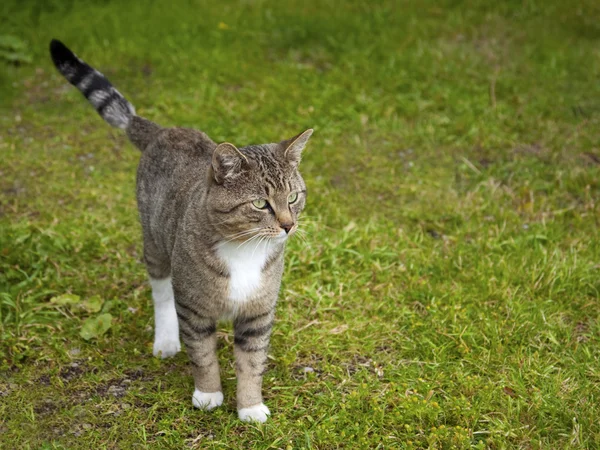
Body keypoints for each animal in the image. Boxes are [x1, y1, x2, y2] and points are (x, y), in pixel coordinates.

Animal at [49, 38, 312, 422]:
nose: (288, 226)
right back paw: (166, 340)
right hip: (156, 244)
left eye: (293, 197)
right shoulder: (194, 308)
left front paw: (250, 406)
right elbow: (203, 355)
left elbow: (252, 362)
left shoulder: (258, 313)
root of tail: (164, 131)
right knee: (161, 291)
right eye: (261, 204)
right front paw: (208, 393)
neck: (244, 249)